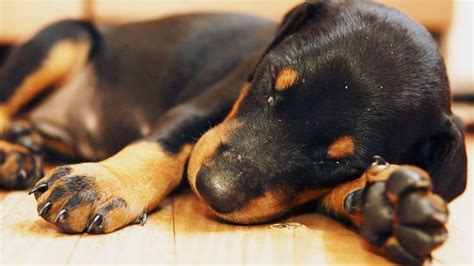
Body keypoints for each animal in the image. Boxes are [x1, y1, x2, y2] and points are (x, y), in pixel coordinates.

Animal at [0, 1, 466, 264]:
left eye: (339, 160)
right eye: (272, 84)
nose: (212, 190)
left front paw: (388, 205)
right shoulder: (201, 106)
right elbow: (163, 146)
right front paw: (101, 184)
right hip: (63, 38)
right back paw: (13, 154)